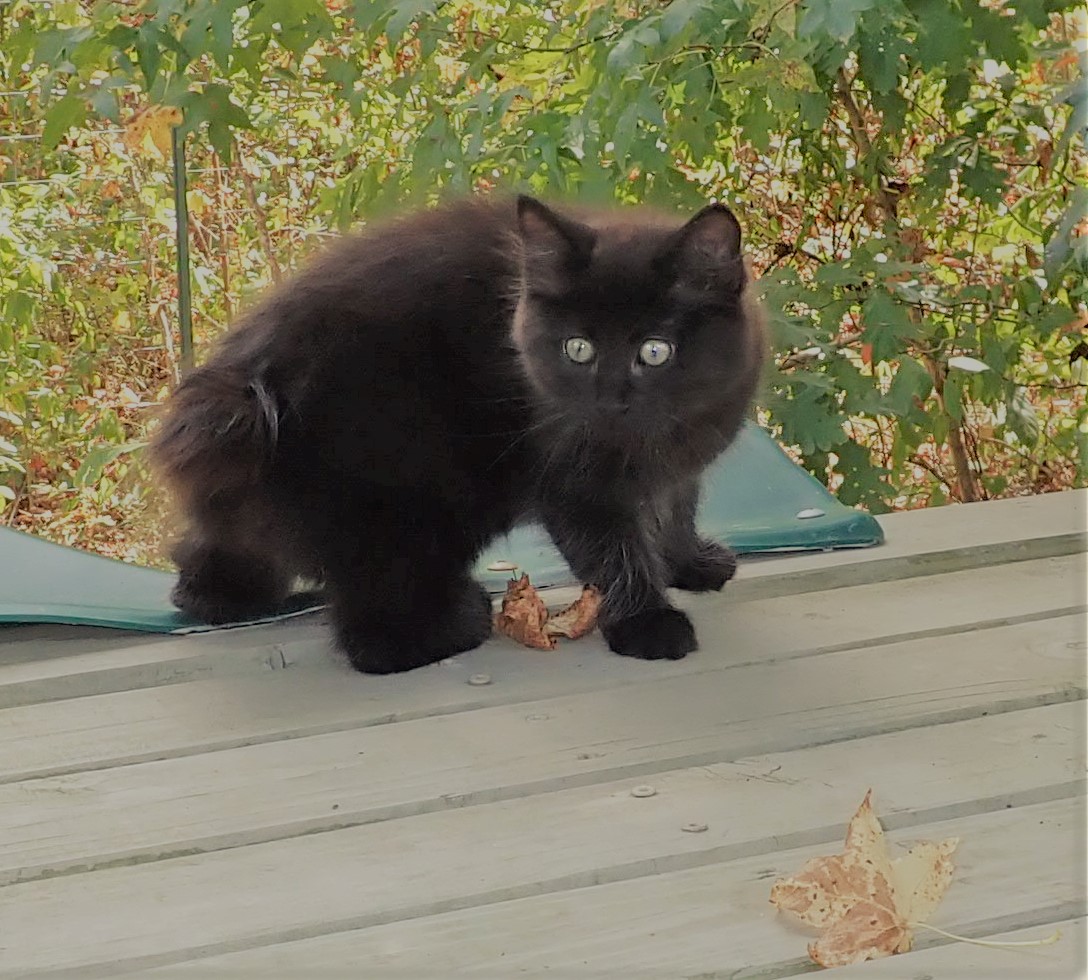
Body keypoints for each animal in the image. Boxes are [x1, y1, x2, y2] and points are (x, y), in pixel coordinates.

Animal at [151, 196, 765, 674]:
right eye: (578, 348)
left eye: (655, 352)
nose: (610, 398)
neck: (653, 440)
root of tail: (251, 393)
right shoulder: (571, 480)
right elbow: (613, 554)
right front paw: (648, 622)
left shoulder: (680, 457)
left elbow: (674, 507)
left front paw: (689, 562)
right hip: (415, 506)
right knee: (375, 638)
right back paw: (459, 621)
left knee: (207, 561)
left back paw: (226, 595)